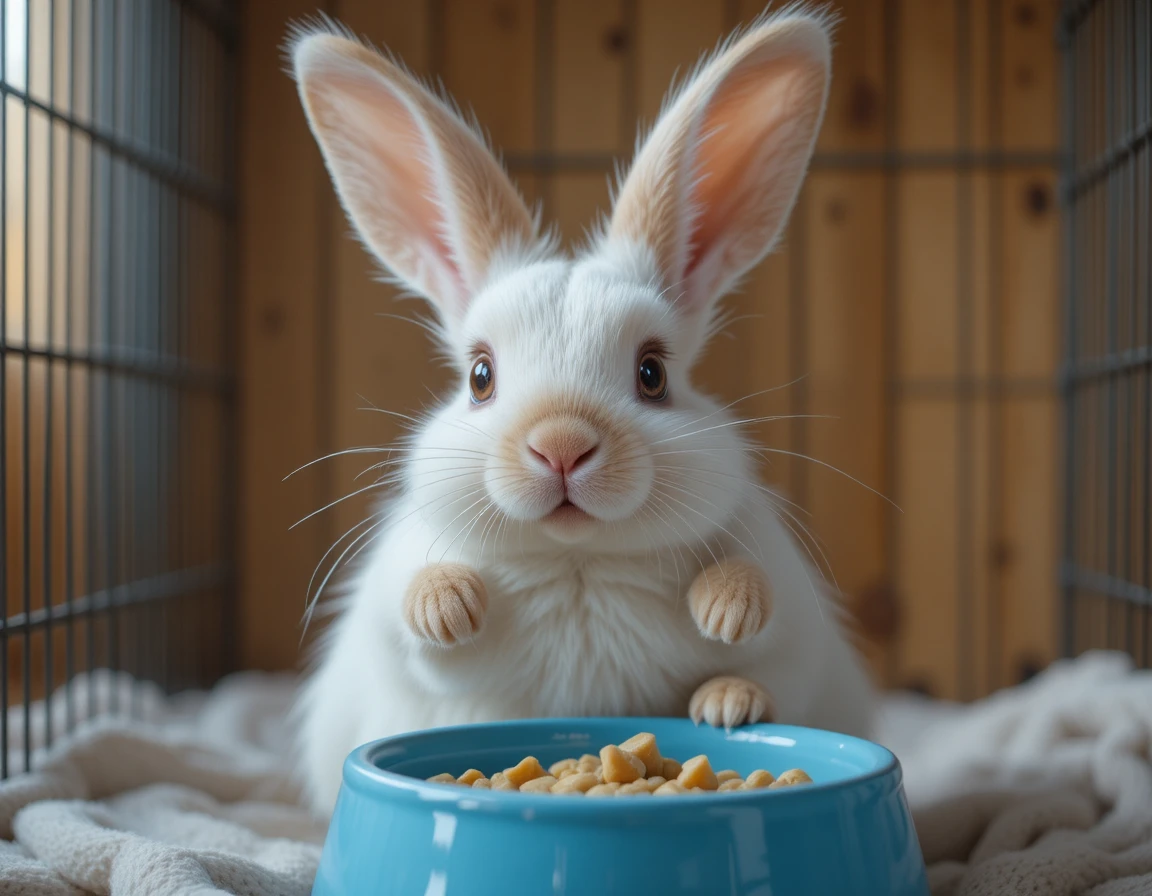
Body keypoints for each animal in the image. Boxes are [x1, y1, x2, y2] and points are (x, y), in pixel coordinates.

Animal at [289, 3, 875, 817]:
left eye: (653, 374)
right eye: (479, 377)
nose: (561, 445)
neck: (579, 563)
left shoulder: (791, 607)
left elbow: (757, 604)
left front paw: (725, 615)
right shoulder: (400, 626)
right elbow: (419, 618)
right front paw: (452, 604)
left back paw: (728, 699)